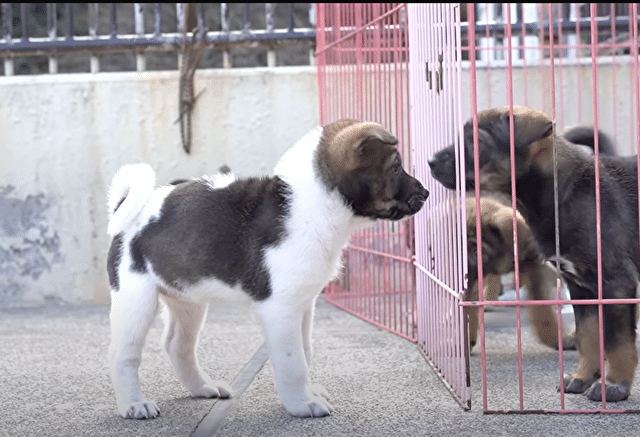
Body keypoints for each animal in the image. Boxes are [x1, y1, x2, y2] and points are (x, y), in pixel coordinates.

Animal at [105, 119, 428, 418]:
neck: (312, 205)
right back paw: (133, 404)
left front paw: (308, 393)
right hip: (136, 299)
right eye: (396, 168)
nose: (426, 192)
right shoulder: (280, 309)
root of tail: (128, 209)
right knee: (124, 356)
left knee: (177, 345)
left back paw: (203, 387)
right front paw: (303, 404)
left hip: (187, 301)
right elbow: (293, 362)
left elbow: (305, 353)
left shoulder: (303, 305)